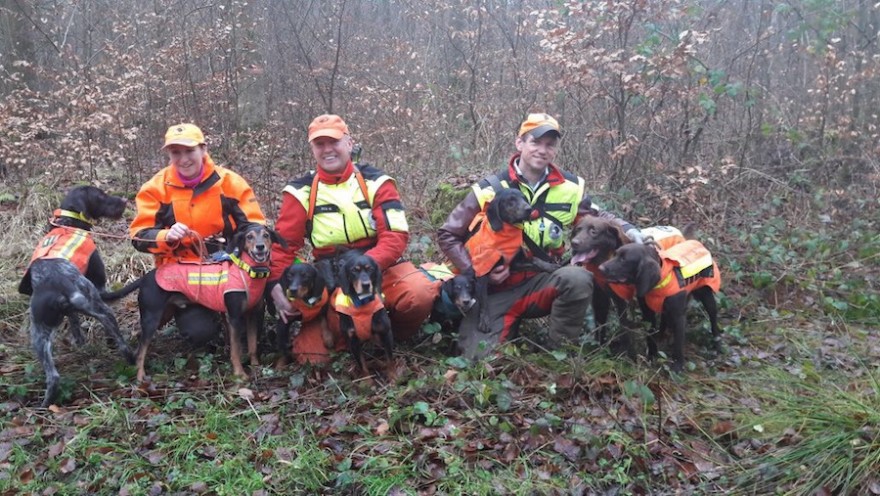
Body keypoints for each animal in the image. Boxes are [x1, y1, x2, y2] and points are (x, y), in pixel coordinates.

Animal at [18, 186, 135, 406]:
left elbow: (75, 324)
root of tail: (58, 287)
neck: (69, 223)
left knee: (53, 376)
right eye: (100, 196)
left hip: (38, 334)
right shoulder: (99, 284)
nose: (125, 201)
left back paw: (45, 406)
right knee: (122, 344)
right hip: (99, 307)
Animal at [600, 240, 720, 372]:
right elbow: (650, 336)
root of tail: (698, 243)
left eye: (623, 260)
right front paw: (652, 356)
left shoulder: (679, 316)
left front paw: (678, 365)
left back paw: (717, 343)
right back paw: (661, 336)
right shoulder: (648, 313)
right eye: (615, 254)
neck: (658, 283)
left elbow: (678, 343)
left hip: (707, 297)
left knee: (713, 319)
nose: (600, 268)